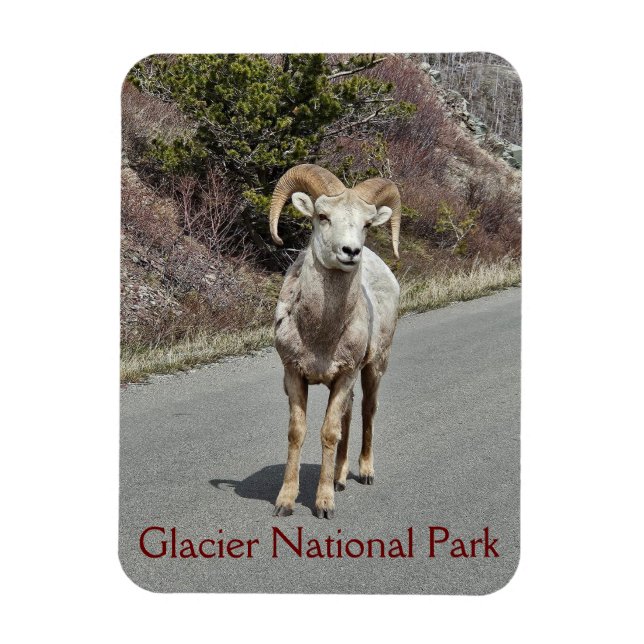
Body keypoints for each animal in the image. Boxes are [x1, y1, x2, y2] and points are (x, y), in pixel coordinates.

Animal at [268, 164, 401, 519]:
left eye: (367, 223)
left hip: (373, 368)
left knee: (367, 411)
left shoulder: (345, 375)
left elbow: (329, 433)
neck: (320, 336)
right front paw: (285, 502)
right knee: (349, 415)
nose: (350, 252)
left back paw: (364, 472)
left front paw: (324, 503)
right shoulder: (294, 375)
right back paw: (340, 477)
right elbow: (297, 433)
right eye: (323, 216)